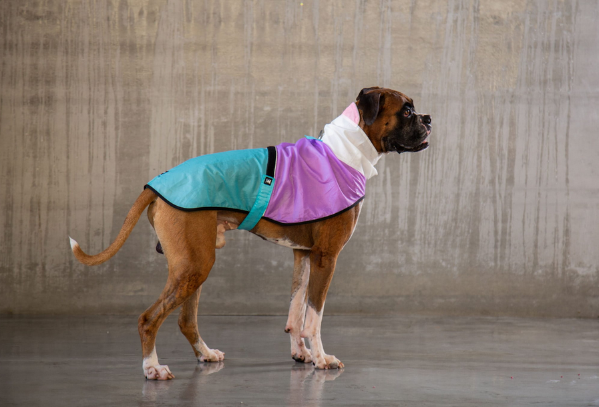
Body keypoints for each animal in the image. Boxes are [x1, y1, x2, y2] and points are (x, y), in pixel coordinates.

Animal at [70, 87, 432, 380]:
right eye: (406, 111)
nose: (429, 118)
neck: (345, 150)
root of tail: (155, 184)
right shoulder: (326, 258)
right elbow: (314, 317)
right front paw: (322, 359)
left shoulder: (303, 254)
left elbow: (296, 310)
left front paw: (301, 354)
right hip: (194, 266)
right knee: (149, 318)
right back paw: (152, 368)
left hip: (193, 266)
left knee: (186, 320)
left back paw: (205, 354)